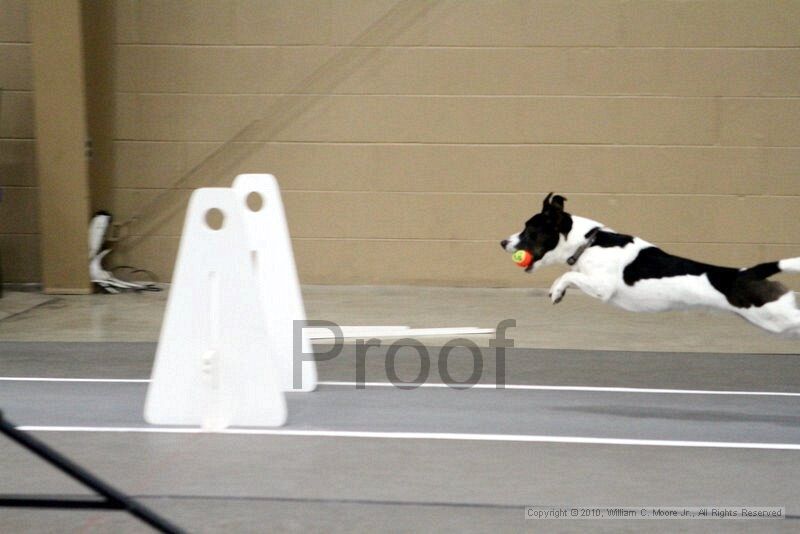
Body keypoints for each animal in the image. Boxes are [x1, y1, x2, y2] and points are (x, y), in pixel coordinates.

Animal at [500, 193, 800, 336]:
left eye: (529, 231)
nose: (503, 242)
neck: (589, 242)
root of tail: (749, 272)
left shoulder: (601, 287)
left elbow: (567, 276)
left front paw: (557, 290)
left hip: (774, 316)